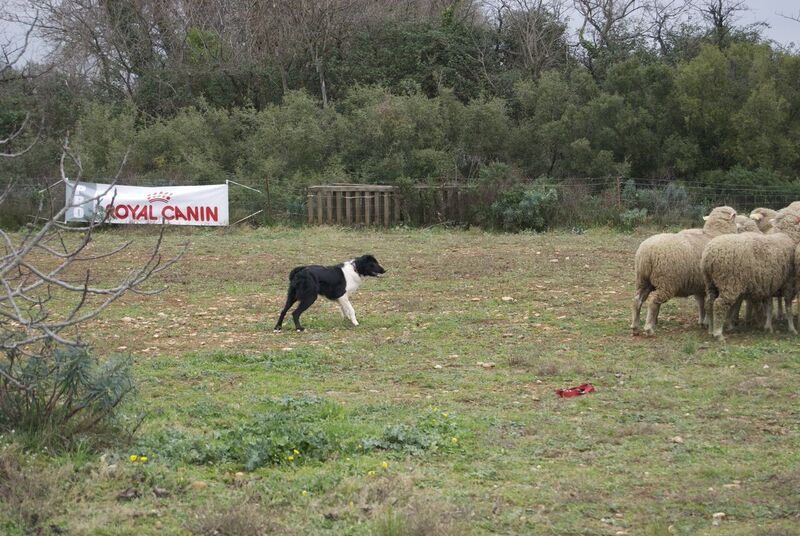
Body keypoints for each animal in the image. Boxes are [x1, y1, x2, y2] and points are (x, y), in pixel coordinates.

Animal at [632, 205, 736, 336]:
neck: (714, 233)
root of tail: (647, 253)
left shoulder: (700, 285)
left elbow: (701, 303)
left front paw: (702, 321)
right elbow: (708, 303)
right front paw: (707, 321)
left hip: (643, 280)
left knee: (637, 300)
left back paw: (635, 327)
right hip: (666, 282)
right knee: (653, 302)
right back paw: (649, 328)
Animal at [704, 211, 800, 342]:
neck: (787, 235)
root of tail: (709, 255)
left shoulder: (769, 284)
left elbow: (769, 307)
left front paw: (768, 327)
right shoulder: (789, 283)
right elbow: (788, 307)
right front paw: (792, 329)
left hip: (711, 283)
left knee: (709, 302)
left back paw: (710, 330)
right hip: (729, 282)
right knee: (719, 304)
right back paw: (718, 333)